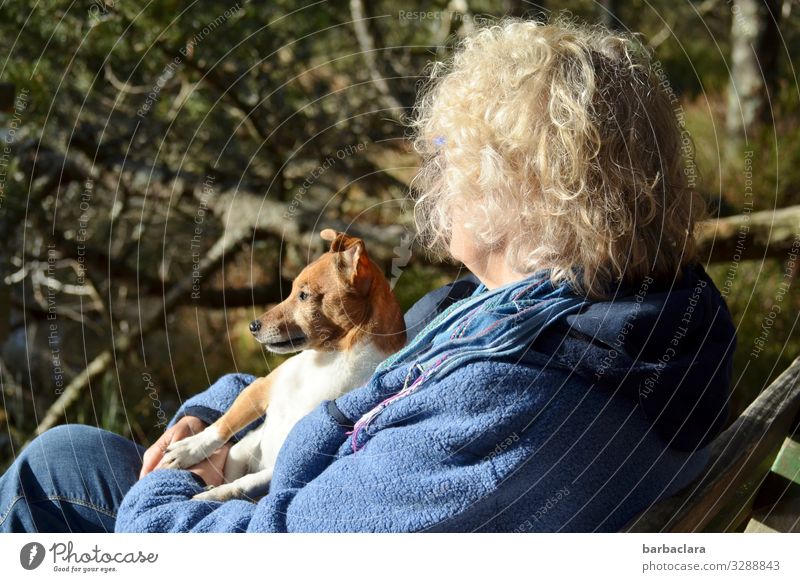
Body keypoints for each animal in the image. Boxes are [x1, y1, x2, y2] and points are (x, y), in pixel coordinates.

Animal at [160, 230, 406, 504]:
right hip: (240, 451)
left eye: (303, 295)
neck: (328, 361)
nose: (252, 326)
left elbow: (246, 483)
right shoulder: (259, 389)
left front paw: (214, 495)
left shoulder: (284, 461)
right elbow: (221, 426)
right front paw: (188, 449)